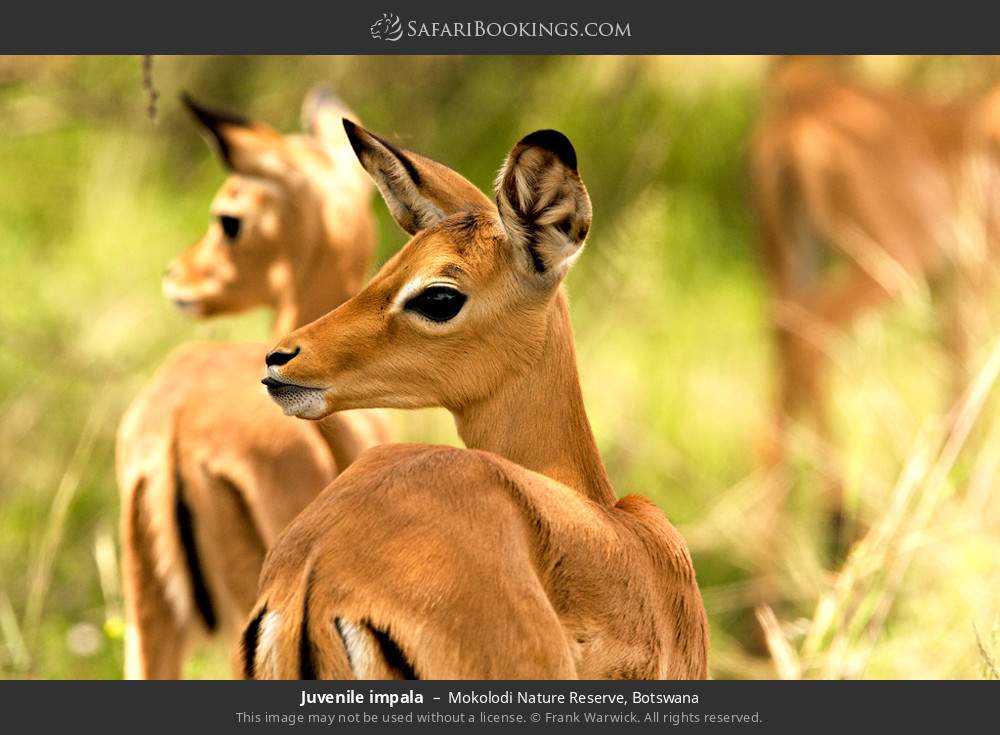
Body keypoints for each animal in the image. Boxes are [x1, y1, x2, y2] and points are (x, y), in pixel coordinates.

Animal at [750, 58, 1000, 542]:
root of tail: (799, 121)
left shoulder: (954, 289)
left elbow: (957, 383)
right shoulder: (971, 286)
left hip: (790, 263)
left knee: (783, 351)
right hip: (887, 268)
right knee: (811, 340)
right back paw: (839, 520)